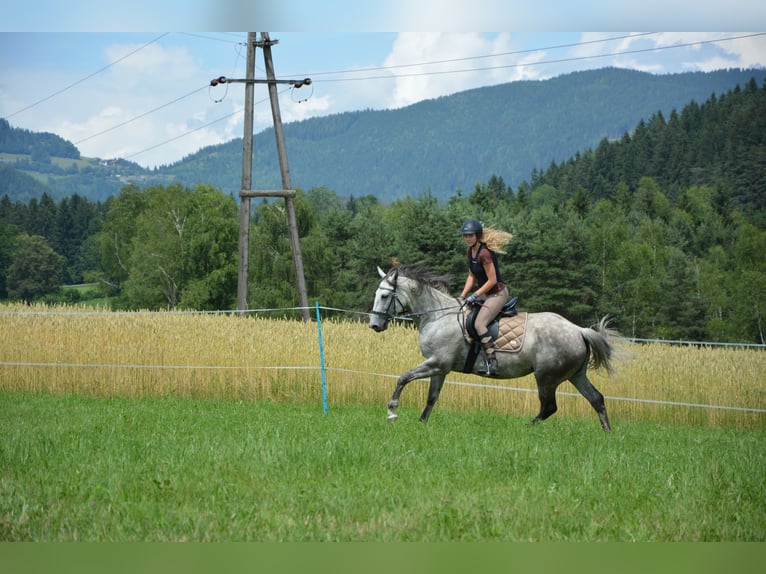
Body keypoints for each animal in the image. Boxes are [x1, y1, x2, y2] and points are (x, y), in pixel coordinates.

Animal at [370, 266, 616, 432]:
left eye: (384, 296)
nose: (374, 325)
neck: (438, 316)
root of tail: (578, 330)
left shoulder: (436, 363)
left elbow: (403, 377)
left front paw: (392, 412)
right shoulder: (440, 368)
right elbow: (431, 398)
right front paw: (421, 423)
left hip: (546, 377)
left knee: (549, 407)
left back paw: (526, 428)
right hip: (575, 375)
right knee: (596, 399)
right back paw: (607, 432)